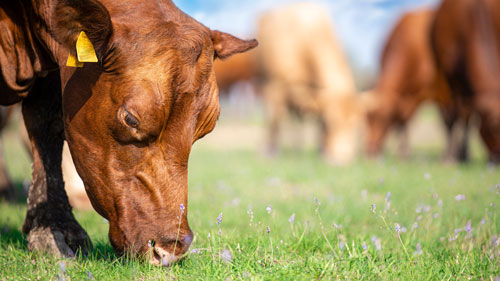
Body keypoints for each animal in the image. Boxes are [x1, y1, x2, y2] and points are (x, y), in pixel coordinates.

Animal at [258, 2, 364, 164]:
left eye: (356, 125)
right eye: (332, 122)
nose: (342, 160)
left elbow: (316, 119)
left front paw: (322, 151)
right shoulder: (276, 84)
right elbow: (275, 120)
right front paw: (270, 153)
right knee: (274, 118)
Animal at [366, 8, 470, 161]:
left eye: (383, 118)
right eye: (366, 119)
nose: (370, 150)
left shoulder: (444, 92)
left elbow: (449, 122)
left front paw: (448, 156)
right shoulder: (406, 98)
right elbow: (402, 122)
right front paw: (403, 154)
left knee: (466, 119)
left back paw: (464, 154)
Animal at [430, 0, 500, 164]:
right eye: (493, 129)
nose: (496, 159)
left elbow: (468, 117)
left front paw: (465, 155)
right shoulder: (452, 77)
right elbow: (459, 115)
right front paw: (454, 157)